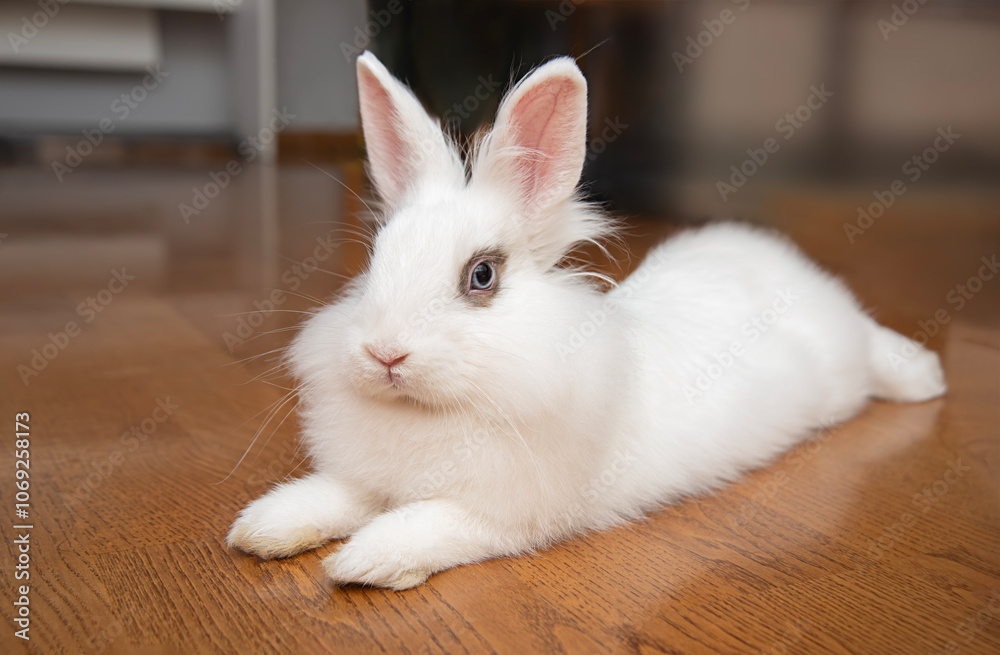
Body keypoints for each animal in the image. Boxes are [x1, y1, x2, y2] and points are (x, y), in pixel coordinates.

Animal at [226, 51, 947, 590]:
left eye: (481, 276)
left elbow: (428, 525)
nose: (384, 354)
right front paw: (262, 528)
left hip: (845, 361)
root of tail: (792, 269)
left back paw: (927, 379)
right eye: (377, 259)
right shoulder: (368, 478)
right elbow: (334, 494)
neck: (437, 411)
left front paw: (366, 560)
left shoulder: (504, 514)